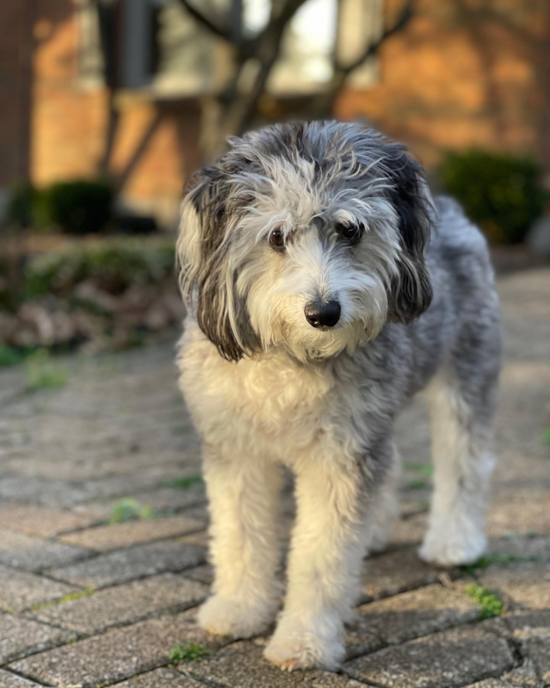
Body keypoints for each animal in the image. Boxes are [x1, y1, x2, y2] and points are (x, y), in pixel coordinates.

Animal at [177, 121, 504, 668]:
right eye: (276, 237)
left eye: (350, 230)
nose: (324, 312)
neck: (293, 359)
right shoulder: (235, 450)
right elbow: (240, 536)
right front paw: (239, 609)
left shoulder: (339, 457)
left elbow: (320, 554)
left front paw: (304, 639)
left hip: (466, 373)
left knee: (465, 461)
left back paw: (454, 541)